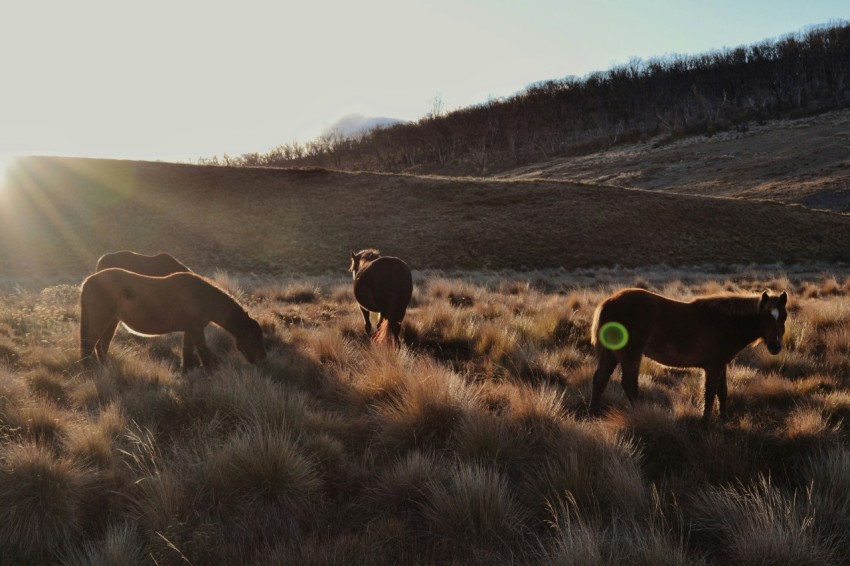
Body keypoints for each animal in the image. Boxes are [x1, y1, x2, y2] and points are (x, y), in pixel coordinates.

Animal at [81, 270, 264, 372]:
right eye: (252, 338)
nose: (262, 360)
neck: (202, 297)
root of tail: (88, 281)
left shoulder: (190, 330)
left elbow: (187, 352)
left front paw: (187, 372)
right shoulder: (196, 330)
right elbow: (203, 352)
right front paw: (210, 373)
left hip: (111, 321)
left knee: (101, 346)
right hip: (100, 320)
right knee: (90, 345)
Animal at [588, 290, 784, 424]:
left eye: (783, 317)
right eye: (766, 317)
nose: (775, 346)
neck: (726, 323)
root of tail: (607, 303)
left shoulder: (721, 365)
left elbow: (723, 391)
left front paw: (724, 419)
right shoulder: (713, 367)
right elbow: (709, 393)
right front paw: (705, 423)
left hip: (611, 355)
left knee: (600, 380)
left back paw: (594, 415)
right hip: (630, 355)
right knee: (629, 385)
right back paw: (639, 414)